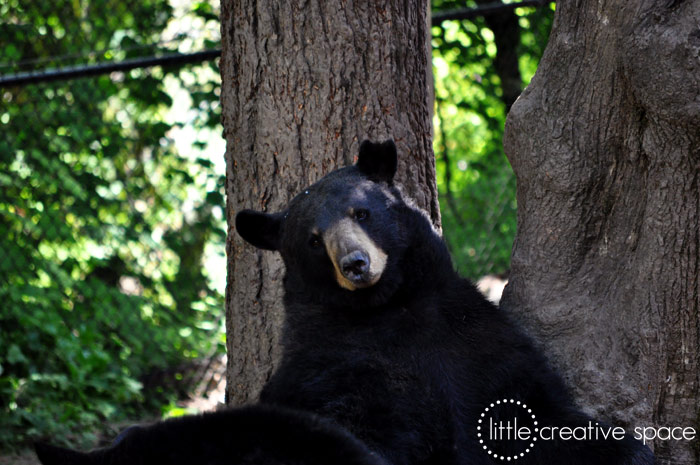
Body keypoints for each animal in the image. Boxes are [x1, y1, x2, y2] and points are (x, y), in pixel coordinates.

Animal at [237, 140, 656, 462]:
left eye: (362, 212)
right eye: (313, 240)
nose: (355, 264)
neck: (390, 307)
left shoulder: (471, 336)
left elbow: (537, 411)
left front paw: (632, 452)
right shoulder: (331, 364)